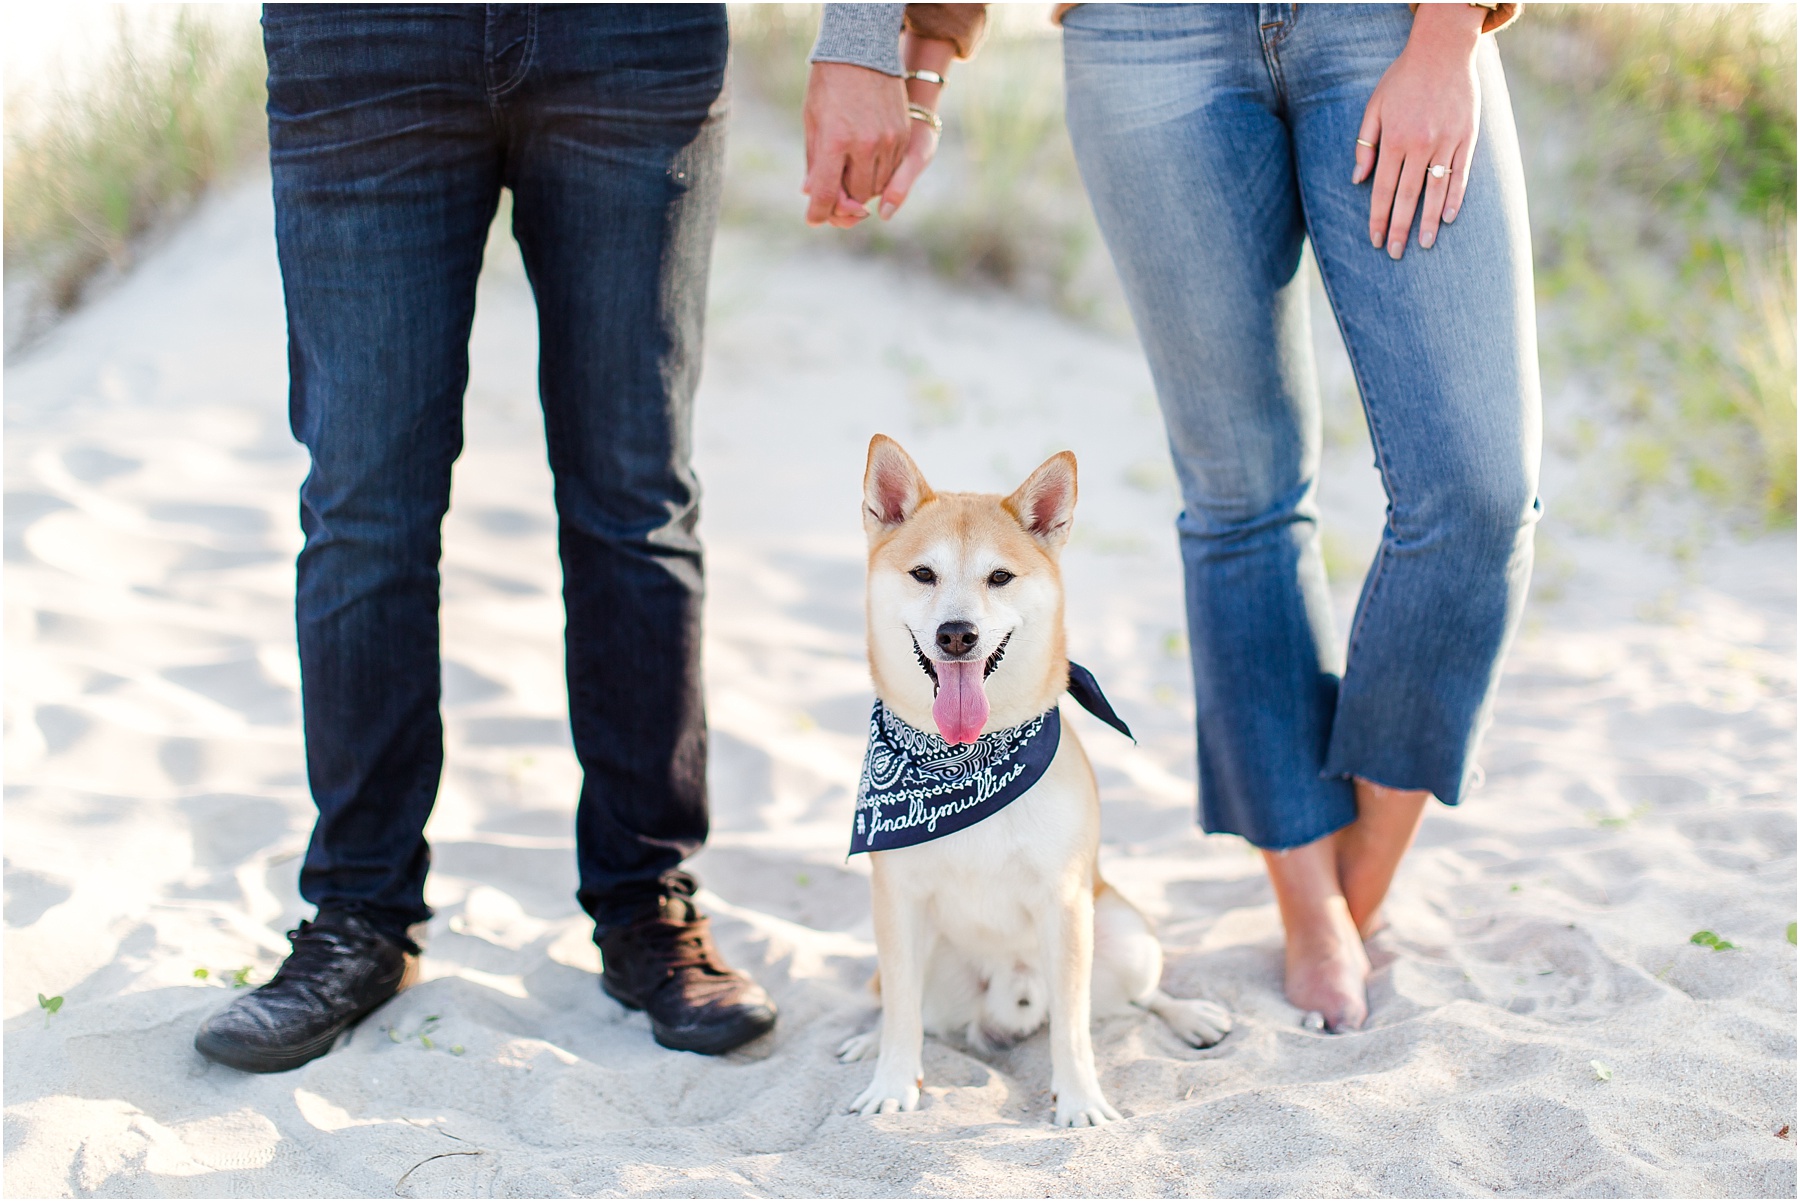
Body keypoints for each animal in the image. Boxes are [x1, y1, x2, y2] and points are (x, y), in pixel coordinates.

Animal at [835, 439, 1231, 1130]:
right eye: (923, 575)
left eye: (1000, 578)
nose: (957, 634)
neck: (965, 760)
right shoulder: (898, 902)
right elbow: (902, 1017)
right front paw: (890, 1082)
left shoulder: (1065, 904)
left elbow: (1073, 1027)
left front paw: (1079, 1102)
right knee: (905, 1008)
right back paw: (867, 1040)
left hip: (1125, 936)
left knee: (1134, 1002)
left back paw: (1187, 1015)